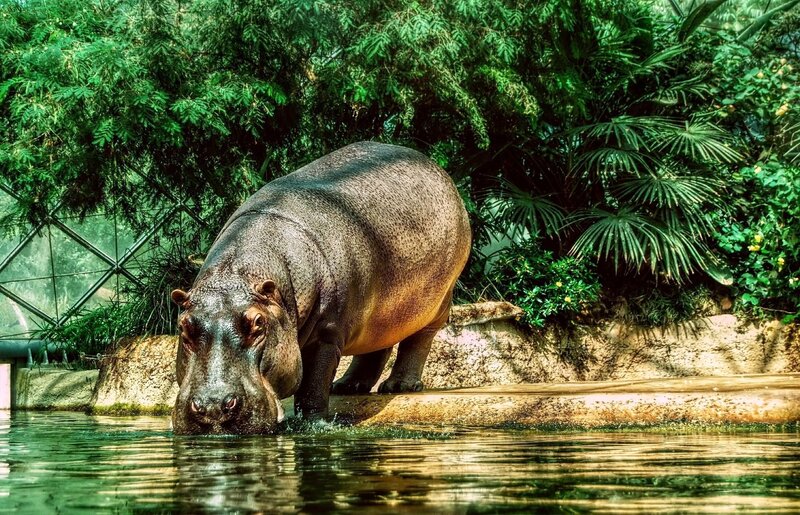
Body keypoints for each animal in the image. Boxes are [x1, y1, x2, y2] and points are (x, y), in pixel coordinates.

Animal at [170, 141, 471, 434]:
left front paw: (313, 424)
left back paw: (399, 386)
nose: (213, 407)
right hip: (381, 311)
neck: (238, 274)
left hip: (437, 301)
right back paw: (347, 386)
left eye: (258, 323)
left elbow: (313, 384)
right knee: (378, 346)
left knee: (419, 339)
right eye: (183, 326)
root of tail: (436, 168)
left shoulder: (327, 333)